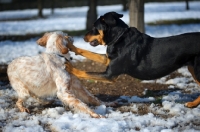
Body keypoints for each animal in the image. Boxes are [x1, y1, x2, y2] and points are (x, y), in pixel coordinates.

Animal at [66, 11, 200, 108]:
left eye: (95, 27)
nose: (83, 37)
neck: (119, 38)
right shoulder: (107, 60)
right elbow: (88, 53)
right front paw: (72, 46)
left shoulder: (109, 75)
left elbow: (84, 72)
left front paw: (69, 67)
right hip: (193, 69)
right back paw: (193, 104)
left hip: (197, 71)